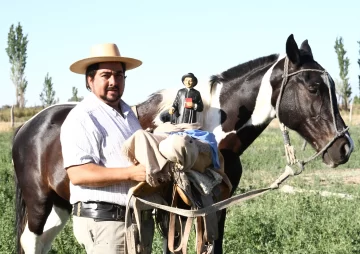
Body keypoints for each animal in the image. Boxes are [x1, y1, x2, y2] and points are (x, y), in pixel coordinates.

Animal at [12, 34, 352, 254]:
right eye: (313, 87)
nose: (344, 147)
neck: (208, 133)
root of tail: (29, 125)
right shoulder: (173, 212)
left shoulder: (214, 208)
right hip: (39, 205)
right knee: (31, 243)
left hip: (60, 206)